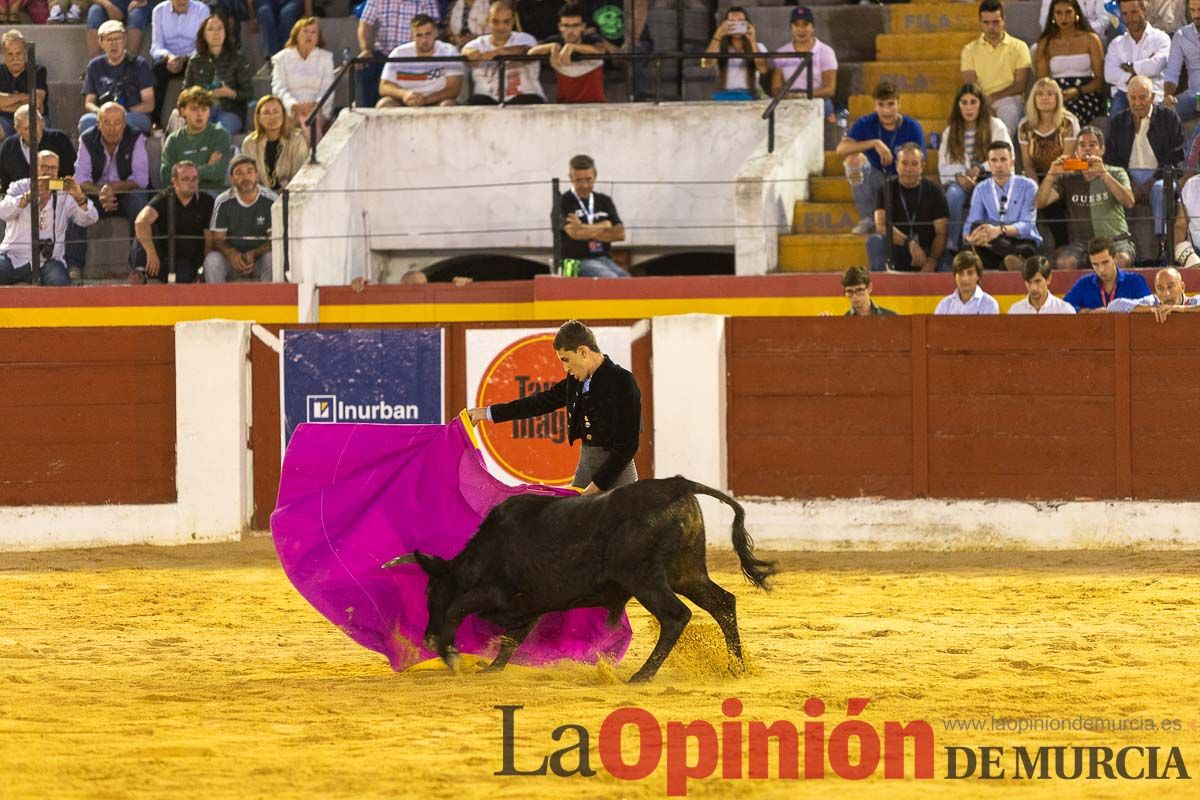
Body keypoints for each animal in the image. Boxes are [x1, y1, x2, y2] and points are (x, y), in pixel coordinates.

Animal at [384, 474, 777, 681]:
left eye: (431, 592)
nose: (427, 635)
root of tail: (679, 485)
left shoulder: (497, 594)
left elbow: (461, 608)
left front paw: (451, 655)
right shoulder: (531, 605)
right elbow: (513, 638)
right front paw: (491, 669)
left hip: (643, 578)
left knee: (676, 616)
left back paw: (641, 676)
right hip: (686, 572)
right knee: (723, 603)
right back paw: (737, 667)